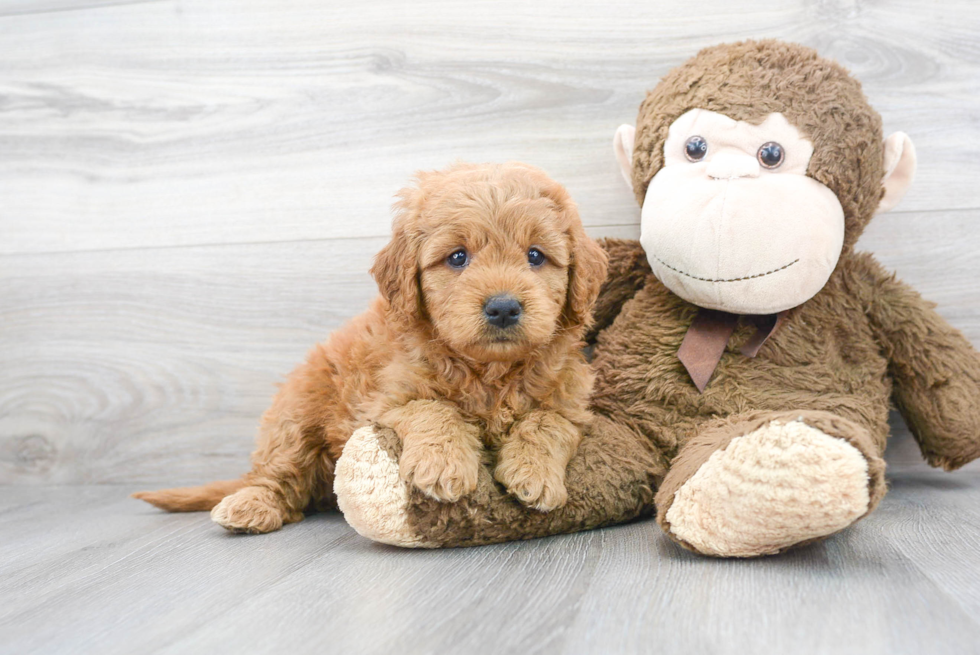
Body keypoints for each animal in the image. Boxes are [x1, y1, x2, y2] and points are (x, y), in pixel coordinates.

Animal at [134, 163, 608, 532]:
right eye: (457, 257)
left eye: (535, 255)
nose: (504, 307)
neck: (489, 371)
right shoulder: (382, 402)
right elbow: (433, 408)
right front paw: (443, 464)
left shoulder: (571, 400)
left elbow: (547, 422)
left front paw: (535, 474)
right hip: (295, 415)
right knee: (276, 474)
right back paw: (250, 505)